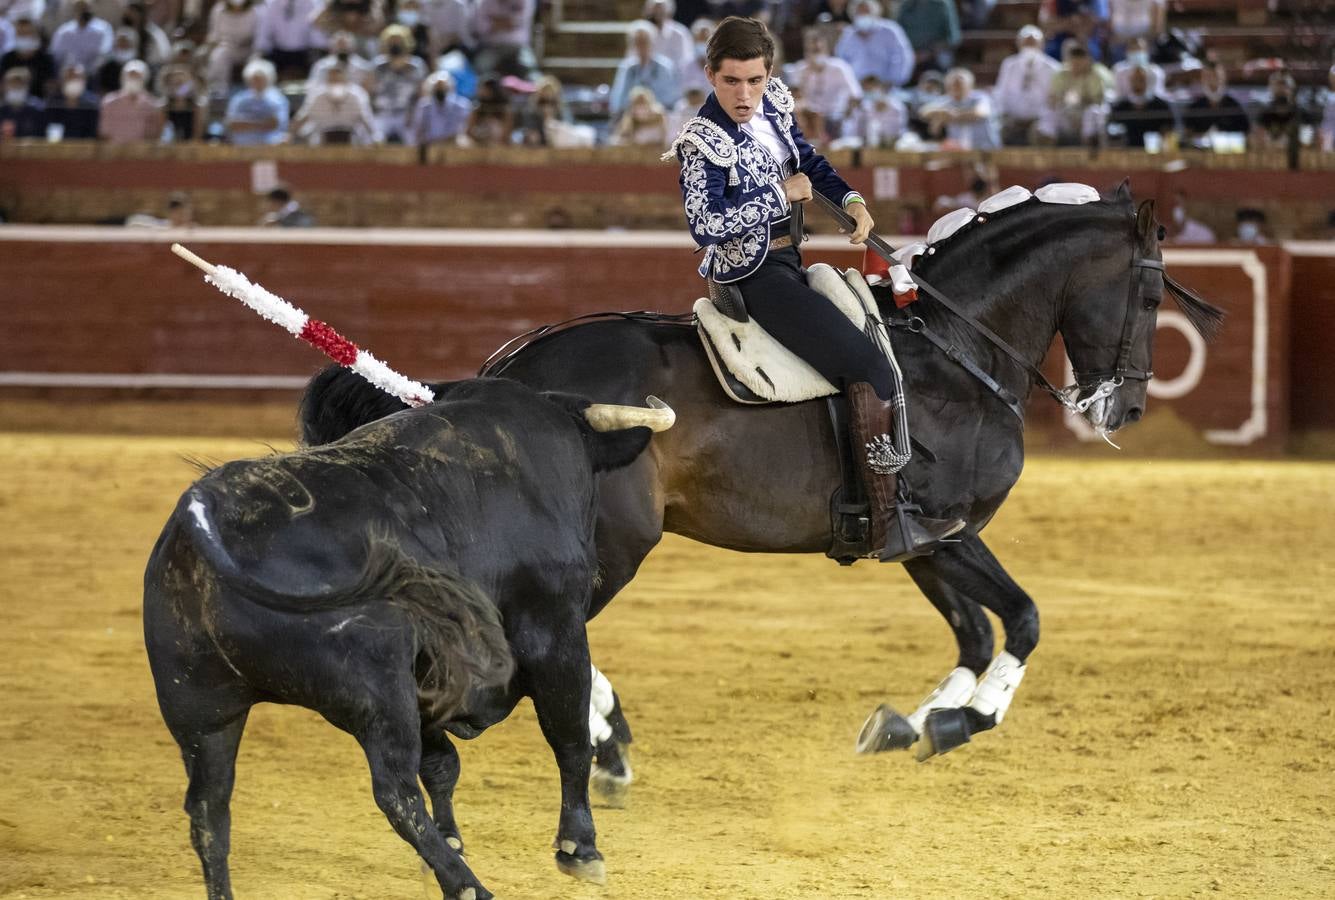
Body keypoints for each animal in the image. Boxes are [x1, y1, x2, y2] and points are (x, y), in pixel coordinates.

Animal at [144, 379, 656, 897]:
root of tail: (208, 523)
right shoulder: (555, 633)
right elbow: (569, 737)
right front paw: (580, 847)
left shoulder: (432, 678)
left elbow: (443, 765)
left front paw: (451, 842)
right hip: (378, 692)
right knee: (394, 789)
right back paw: (467, 885)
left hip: (201, 707)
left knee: (209, 811)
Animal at [300, 180, 1222, 769]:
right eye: (1149, 298)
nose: (1125, 409)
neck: (957, 349)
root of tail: (499, 373)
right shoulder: (949, 529)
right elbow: (1024, 619)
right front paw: (966, 721)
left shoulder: (923, 542)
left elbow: (975, 632)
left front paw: (912, 725)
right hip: (609, 547)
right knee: (525, 633)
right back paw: (590, 731)